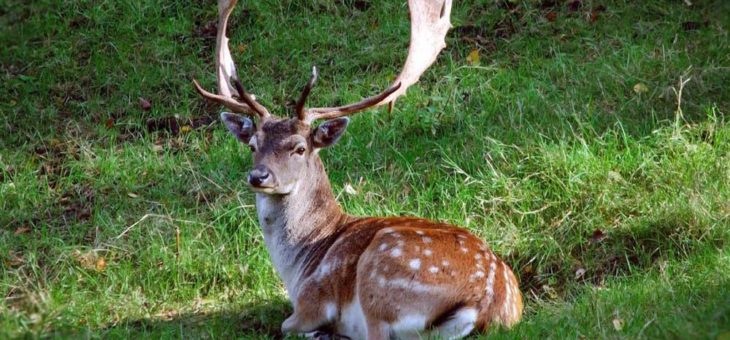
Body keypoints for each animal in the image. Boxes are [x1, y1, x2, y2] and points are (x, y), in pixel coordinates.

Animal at [192, 1, 524, 338]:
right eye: (252, 145)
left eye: (299, 148)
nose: (258, 176)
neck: (299, 266)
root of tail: (485, 302)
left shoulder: (312, 300)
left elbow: (287, 325)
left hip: (379, 276)